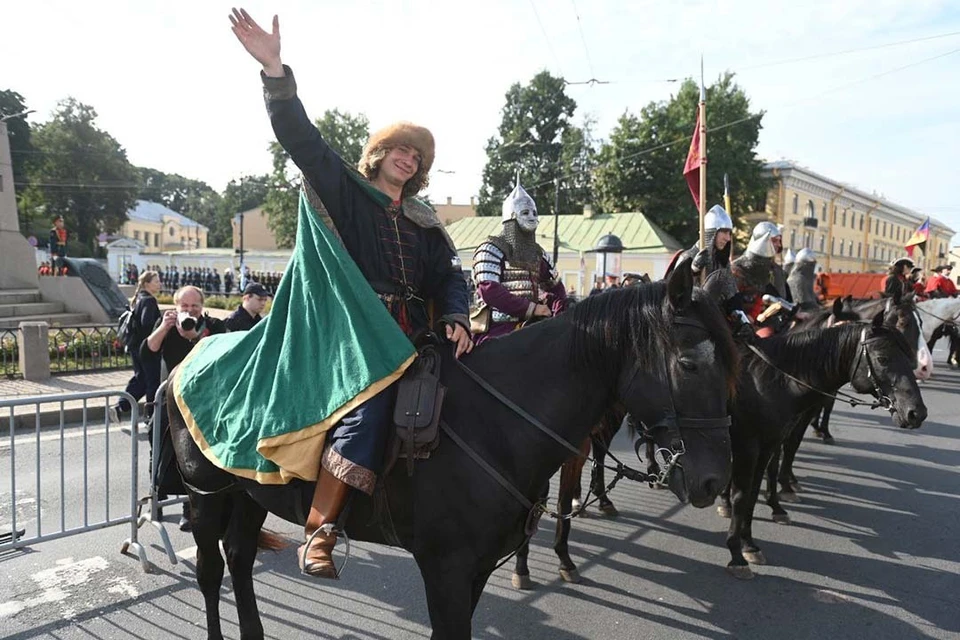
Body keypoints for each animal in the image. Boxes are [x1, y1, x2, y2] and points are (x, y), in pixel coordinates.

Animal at [169, 262, 740, 640]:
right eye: (689, 364)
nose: (714, 481)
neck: (496, 420)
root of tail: (185, 361)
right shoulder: (444, 568)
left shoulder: (477, 566)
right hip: (206, 497)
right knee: (211, 570)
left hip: (249, 496)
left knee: (240, 558)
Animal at [724, 312, 928, 580]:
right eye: (882, 358)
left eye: (907, 355)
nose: (916, 413)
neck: (767, 381)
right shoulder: (747, 445)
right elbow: (741, 495)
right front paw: (736, 554)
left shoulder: (768, 444)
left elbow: (753, 491)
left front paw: (749, 545)